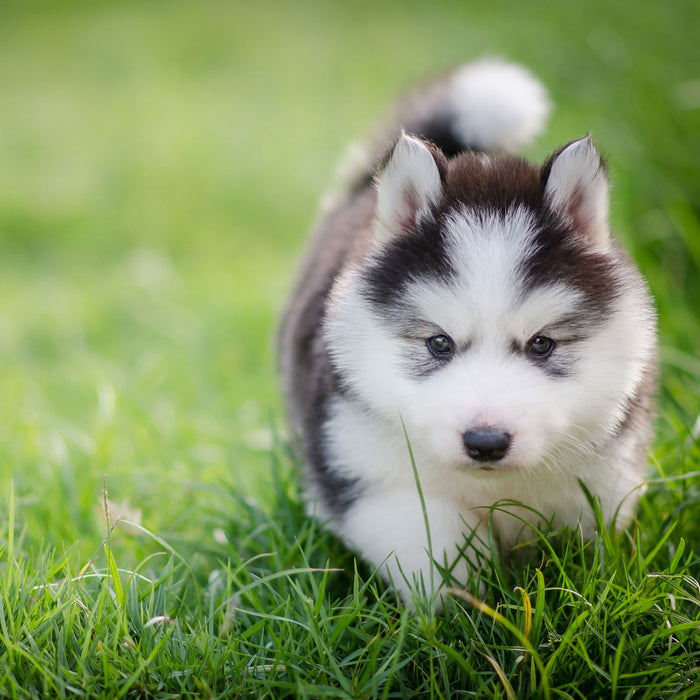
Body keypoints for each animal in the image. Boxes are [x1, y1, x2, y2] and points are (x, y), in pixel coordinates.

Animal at [278, 60, 656, 600]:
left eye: (542, 344)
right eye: (439, 343)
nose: (486, 442)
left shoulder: (603, 477)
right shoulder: (366, 468)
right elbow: (437, 546)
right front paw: (461, 608)